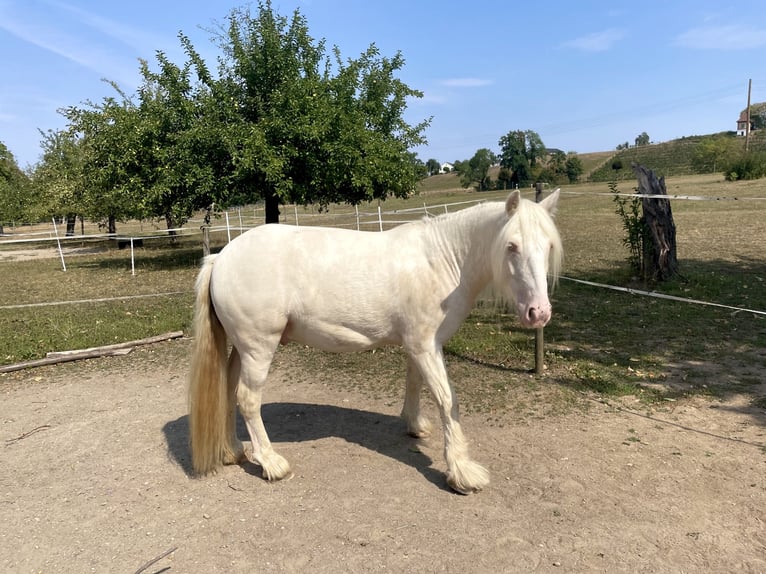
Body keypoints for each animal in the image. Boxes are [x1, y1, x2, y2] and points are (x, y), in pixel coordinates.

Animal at [188, 190, 562, 494]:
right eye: (512, 246)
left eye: (548, 246)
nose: (539, 313)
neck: (442, 260)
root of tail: (220, 258)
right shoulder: (425, 346)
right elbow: (447, 400)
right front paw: (462, 471)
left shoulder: (418, 346)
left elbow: (415, 383)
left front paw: (414, 425)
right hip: (259, 348)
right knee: (248, 399)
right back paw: (271, 463)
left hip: (242, 348)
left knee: (228, 390)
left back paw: (234, 451)